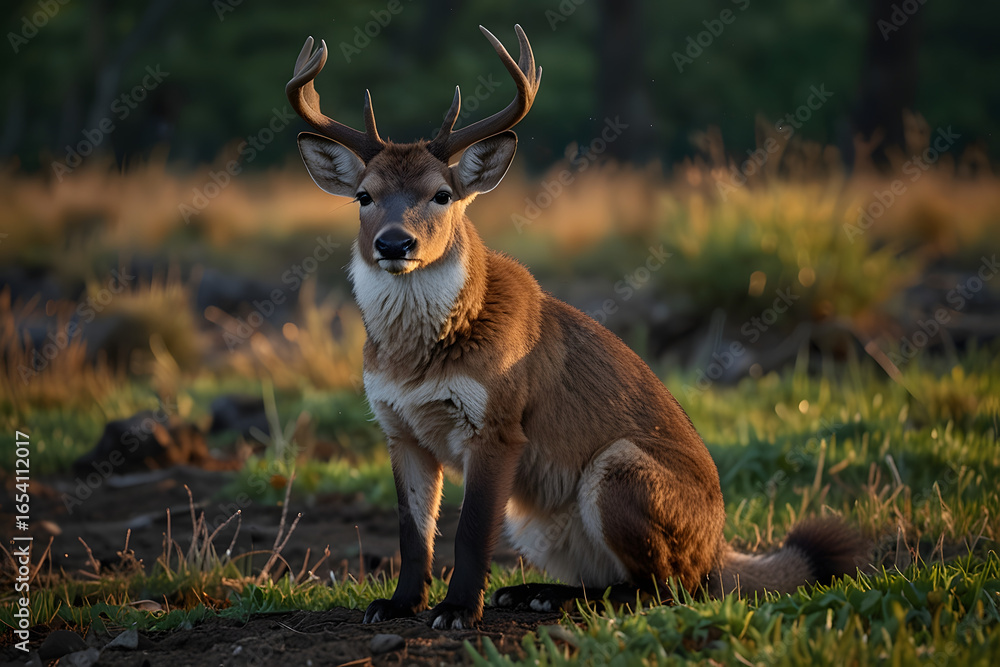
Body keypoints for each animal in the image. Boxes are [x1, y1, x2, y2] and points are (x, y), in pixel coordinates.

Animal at [286, 24, 869, 630]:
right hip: (535, 520)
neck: (418, 360)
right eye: (364, 196)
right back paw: (534, 592)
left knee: (671, 587)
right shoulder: (398, 428)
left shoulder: (497, 425)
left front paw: (458, 610)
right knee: (620, 578)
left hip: (616, 468)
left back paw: (554, 598)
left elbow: (470, 531)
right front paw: (400, 604)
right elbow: (412, 533)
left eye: (441, 195)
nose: (395, 243)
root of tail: (718, 548)